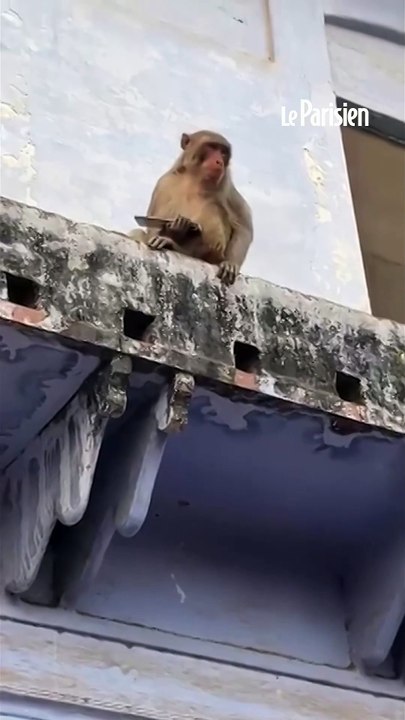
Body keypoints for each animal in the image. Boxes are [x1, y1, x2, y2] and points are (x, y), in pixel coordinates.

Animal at [130, 130, 253, 285]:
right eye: (212, 147)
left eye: (223, 152)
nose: (219, 161)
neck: (195, 178)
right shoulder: (164, 183)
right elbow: (153, 229)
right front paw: (174, 229)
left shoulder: (226, 186)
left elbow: (244, 227)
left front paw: (231, 263)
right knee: (137, 232)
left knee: (212, 209)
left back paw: (176, 246)